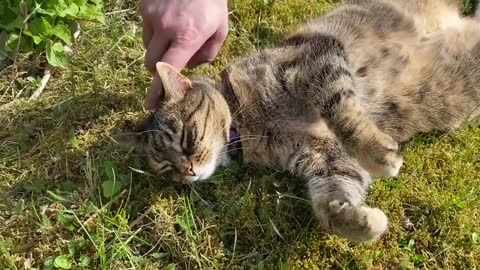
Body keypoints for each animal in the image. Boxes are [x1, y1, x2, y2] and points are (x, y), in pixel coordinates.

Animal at [116, 0, 480, 243]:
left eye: (187, 138)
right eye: (167, 169)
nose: (187, 171)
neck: (248, 122)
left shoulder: (315, 60)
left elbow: (343, 112)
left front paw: (379, 154)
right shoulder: (325, 157)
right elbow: (332, 202)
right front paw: (365, 223)